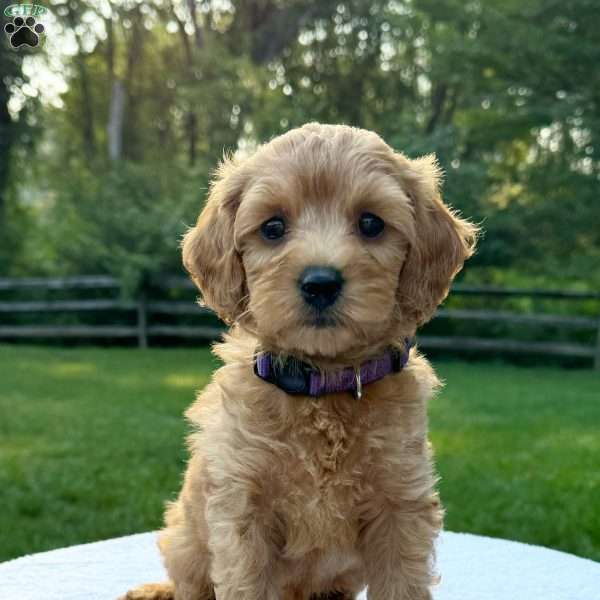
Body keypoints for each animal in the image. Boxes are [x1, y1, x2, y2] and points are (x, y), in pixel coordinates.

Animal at [122, 123, 478, 600]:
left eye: (371, 223)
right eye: (273, 227)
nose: (320, 282)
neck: (322, 385)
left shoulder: (400, 504)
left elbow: (400, 584)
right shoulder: (243, 509)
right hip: (184, 538)